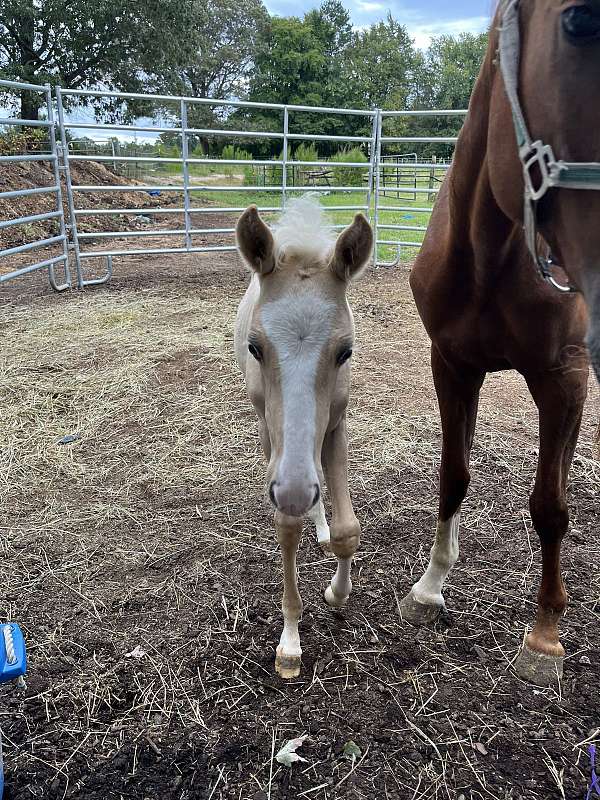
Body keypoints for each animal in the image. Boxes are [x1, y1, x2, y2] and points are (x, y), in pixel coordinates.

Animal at [233, 198, 370, 676]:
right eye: (255, 347)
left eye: (346, 351)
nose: (294, 492)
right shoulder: (275, 447)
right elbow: (287, 526)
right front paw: (290, 642)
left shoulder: (336, 425)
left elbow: (348, 528)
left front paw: (337, 594)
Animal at [398, 1, 596, 688]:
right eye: (580, 21)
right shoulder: (452, 365)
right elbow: (453, 473)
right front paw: (430, 585)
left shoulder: (562, 377)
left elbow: (550, 506)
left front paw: (545, 634)